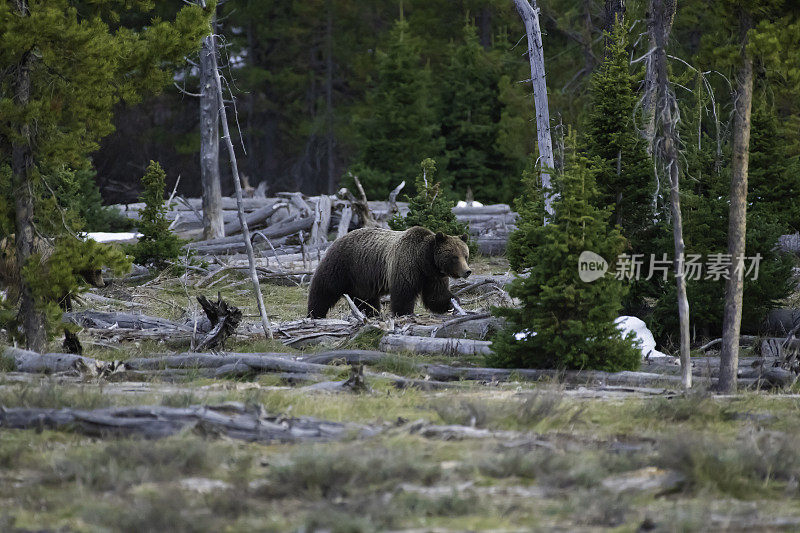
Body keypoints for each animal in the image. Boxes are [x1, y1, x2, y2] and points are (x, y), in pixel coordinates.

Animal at [304, 227, 468, 318]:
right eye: (454, 257)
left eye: (465, 255)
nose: (467, 271)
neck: (424, 261)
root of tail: (337, 239)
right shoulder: (406, 264)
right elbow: (403, 293)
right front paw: (404, 313)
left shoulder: (433, 276)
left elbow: (436, 296)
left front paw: (453, 303)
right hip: (342, 265)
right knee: (324, 289)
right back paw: (314, 313)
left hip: (362, 278)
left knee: (366, 300)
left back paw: (371, 313)